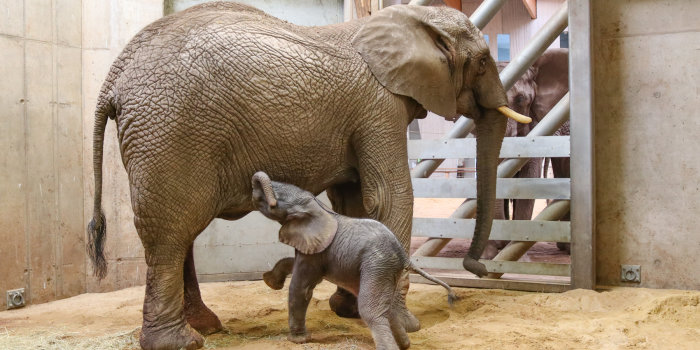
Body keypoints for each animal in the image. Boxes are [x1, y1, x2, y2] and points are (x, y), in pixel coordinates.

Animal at [250, 171, 454, 348]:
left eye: (277, 201)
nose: (256, 180)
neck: (317, 207)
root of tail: (403, 254)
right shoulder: (315, 249)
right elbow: (295, 265)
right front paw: (270, 281)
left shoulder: (317, 249)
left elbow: (301, 287)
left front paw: (298, 340)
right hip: (386, 269)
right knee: (386, 309)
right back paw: (405, 345)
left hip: (377, 264)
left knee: (370, 311)